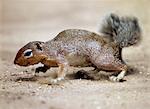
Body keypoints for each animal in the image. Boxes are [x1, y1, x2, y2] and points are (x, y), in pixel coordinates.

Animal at [13, 13, 141, 84]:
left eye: (28, 53)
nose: (15, 62)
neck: (48, 50)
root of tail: (115, 44)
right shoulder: (49, 62)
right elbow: (45, 67)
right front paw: (39, 70)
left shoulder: (60, 58)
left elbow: (64, 67)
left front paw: (57, 79)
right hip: (97, 61)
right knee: (98, 69)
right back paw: (86, 72)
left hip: (102, 60)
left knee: (123, 66)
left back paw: (118, 77)